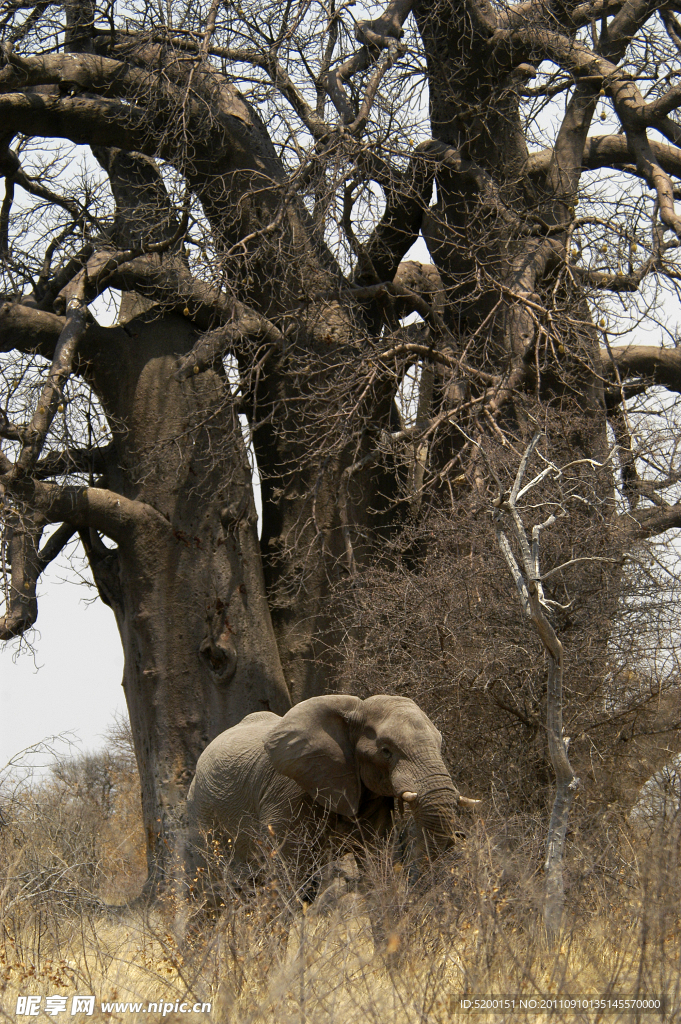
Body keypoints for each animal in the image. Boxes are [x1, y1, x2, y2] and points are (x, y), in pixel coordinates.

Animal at [183, 696, 475, 880]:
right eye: (386, 750)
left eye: (440, 744)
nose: (460, 837)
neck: (354, 712)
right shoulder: (288, 793)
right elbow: (287, 875)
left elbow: (375, 867)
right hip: (201, 813)